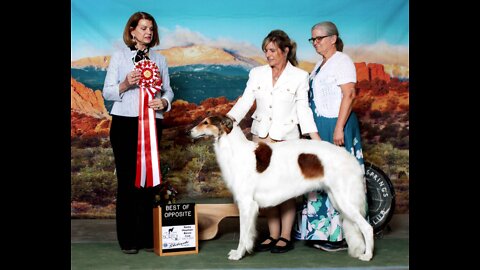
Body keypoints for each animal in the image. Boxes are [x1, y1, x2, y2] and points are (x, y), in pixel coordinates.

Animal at [189, 115, 374, 260]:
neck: (236, 150)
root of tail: (350, 157)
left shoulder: (246, 203)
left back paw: (368, 255)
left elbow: (243, 235)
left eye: (206, 122)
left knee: (367, 227)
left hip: (344, 200)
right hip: (337, 198)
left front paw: (238, 254)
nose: (188, 132)